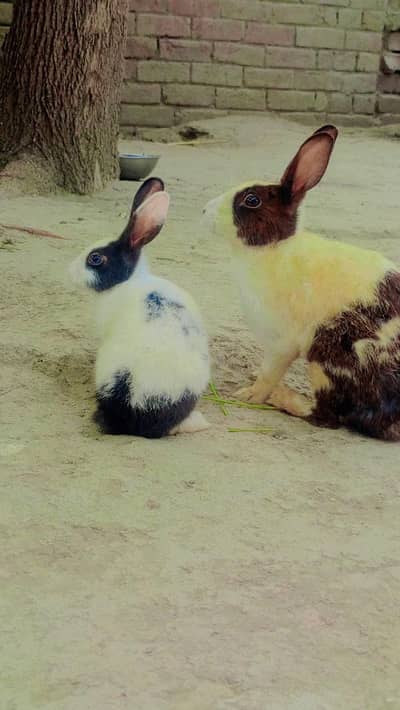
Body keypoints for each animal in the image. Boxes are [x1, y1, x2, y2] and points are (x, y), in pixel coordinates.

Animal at [203, 124, 400, 441]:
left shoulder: (280, 344)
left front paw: (249, 394)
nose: (205, 211)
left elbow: (268, 373)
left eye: (252, 200)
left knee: (327, 416)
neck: (274, 248)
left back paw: (282, 398)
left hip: (329, 353)